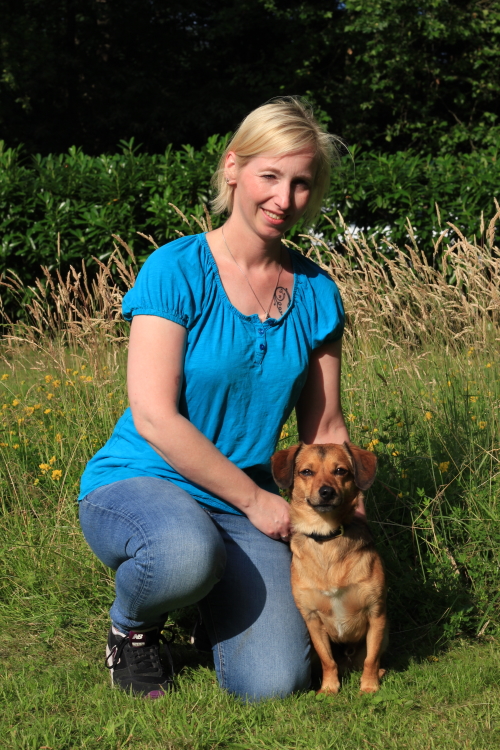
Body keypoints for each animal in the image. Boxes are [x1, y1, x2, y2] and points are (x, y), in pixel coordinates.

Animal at [274, 444, 386, 696]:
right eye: (306, 472)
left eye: (340, 471)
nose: (326, 492)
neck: (326, 537)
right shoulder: (313, 619)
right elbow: (327, 660)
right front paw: (329, 688)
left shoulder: (376, 614)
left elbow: (372, 658)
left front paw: (369, 686)